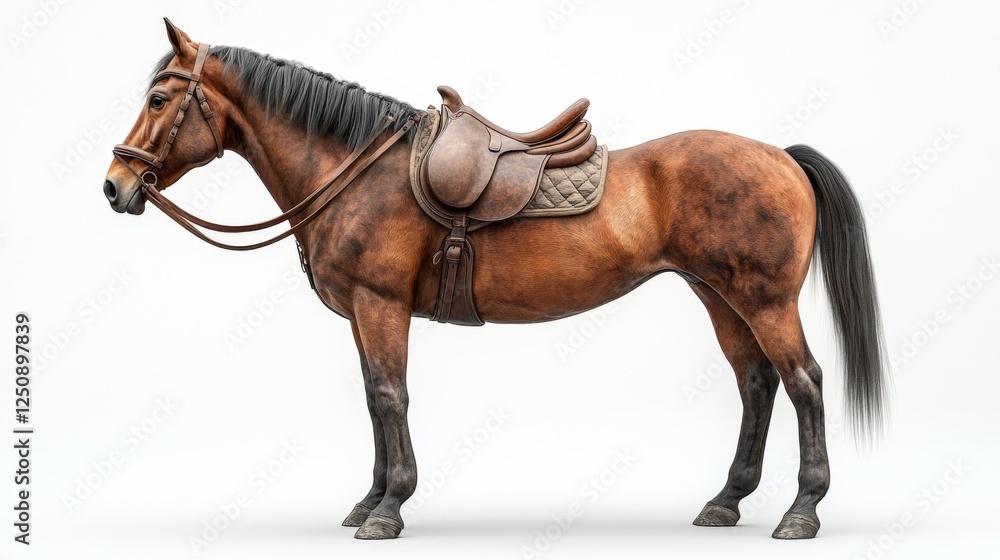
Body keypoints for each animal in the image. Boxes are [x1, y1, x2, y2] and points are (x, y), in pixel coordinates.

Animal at [103, 19, 888, 541]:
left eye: (160, 99)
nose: (115, 186)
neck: (357, 170)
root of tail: (780, 156)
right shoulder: (363, 313)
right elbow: (373, 400)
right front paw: (368, 500)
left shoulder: (380, 305)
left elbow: (390, 397)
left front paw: (390, 507)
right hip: (719, 295)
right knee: (756, 383)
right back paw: (727, 500)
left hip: (765, 299)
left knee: (804, 382)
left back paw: (802, 510)